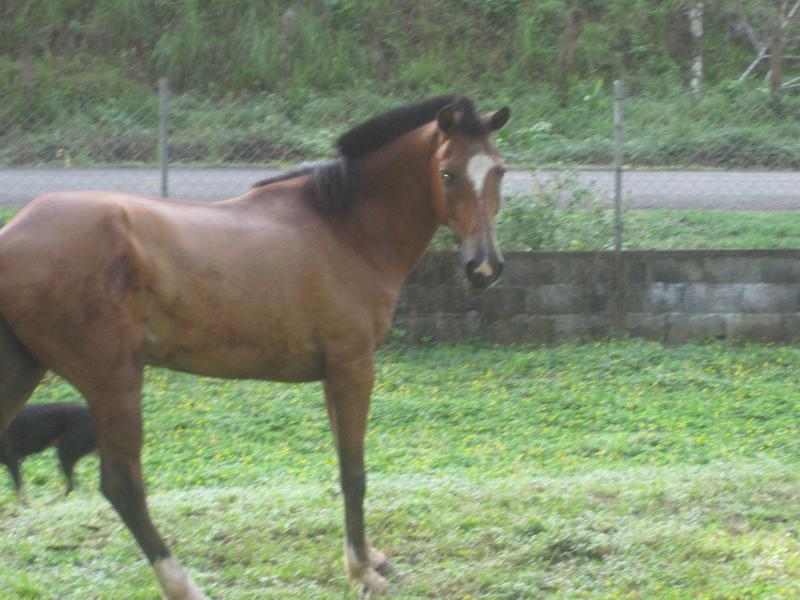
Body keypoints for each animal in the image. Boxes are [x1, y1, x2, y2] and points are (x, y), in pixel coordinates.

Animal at [0, 95, 509, 598]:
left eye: (499, 171)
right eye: (447, 173)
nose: (484, 267)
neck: (344, 229)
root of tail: (13, 234)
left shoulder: (333, 375)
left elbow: (344, 467)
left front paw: (367, 558)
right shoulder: (353, 366)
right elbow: (354, 473)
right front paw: (363, 570)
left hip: (24, 374)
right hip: (113, 381)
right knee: (123, 486)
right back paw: (183, 584)